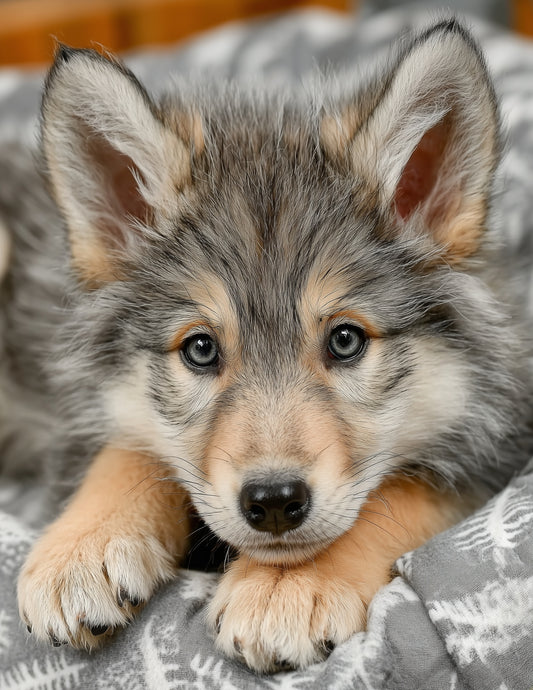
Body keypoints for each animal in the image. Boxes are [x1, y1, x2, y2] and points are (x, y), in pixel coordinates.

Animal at [0, 19, 531, 673]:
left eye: (345, 340)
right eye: (201, 350)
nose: (275, 501)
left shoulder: (494, 445)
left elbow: (403, 489)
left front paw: (291, 585)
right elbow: (129, 448)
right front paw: (82, 547)